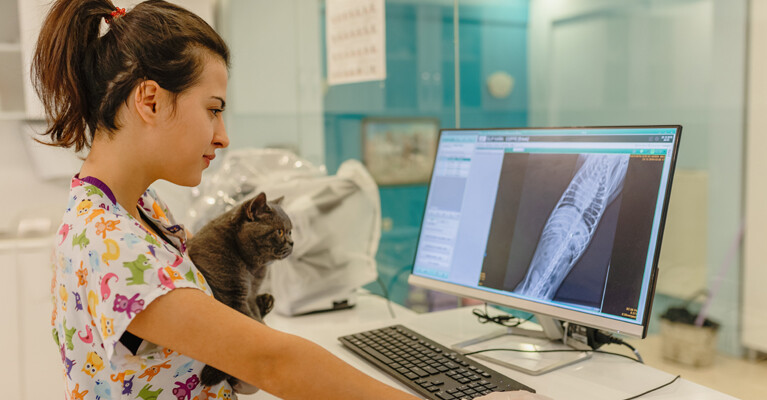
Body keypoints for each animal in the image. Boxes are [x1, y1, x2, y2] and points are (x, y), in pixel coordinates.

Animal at [187, 192, 294, 390]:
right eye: (280, 232)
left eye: (290, 231)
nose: (292, 243)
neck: (251, 269)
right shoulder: (231, 297)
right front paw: (212, 374)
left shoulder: (249, 296)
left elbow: (255, 322)